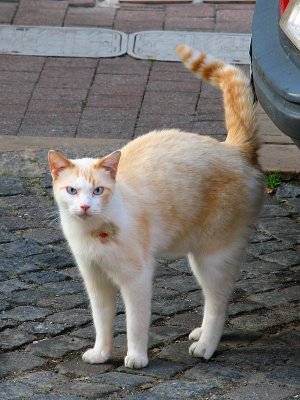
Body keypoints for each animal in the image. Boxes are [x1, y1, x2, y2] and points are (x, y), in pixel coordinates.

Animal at [48, 44, 266, 368]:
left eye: (98, 191)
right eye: (72, 191)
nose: (86, 207)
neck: (94, 233)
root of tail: (233, 148)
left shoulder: (136, 280)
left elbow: (136, 324)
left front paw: (136, 357)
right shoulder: (96, 282)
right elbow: (102, 322)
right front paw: (101, 354)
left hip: (211, 257)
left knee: (219, 301)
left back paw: (206, 345)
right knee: (219, 298)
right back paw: (201, 334)